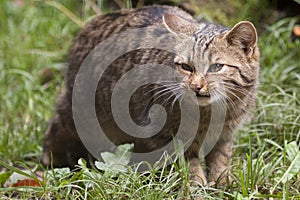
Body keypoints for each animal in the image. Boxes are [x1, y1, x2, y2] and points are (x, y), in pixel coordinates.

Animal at [41, 5, 258, 186]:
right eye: (186, 67)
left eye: (216, 67)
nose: (196, 85)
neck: (211, 115)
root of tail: (89, 26)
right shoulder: (168, 138)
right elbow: (190, 168)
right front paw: (196, 188)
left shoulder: (225, 136)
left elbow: (221, 161)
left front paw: (224, 185)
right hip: (84, 114)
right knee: (57, 121)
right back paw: (49, 160)